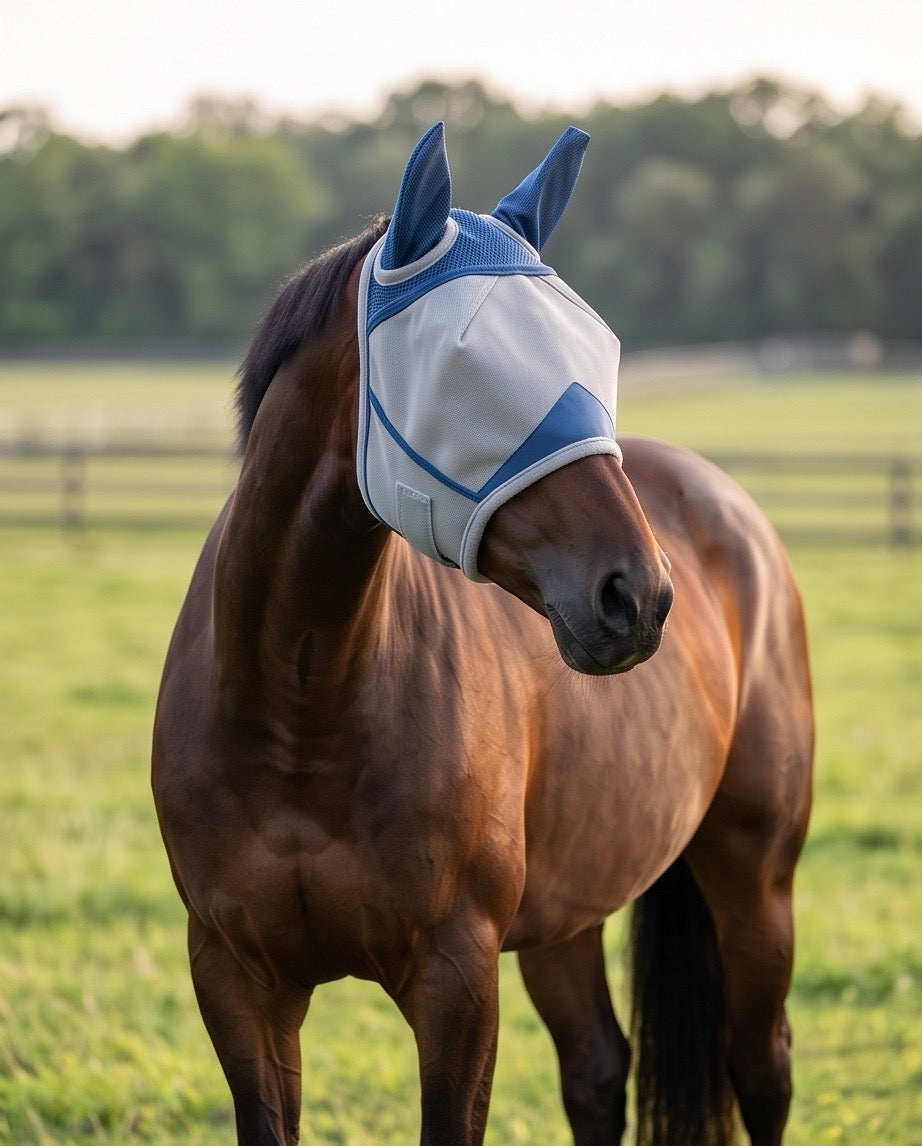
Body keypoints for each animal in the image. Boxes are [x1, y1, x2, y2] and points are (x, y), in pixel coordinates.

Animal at [152, 123, 813, 1146]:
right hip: (569, 912)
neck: (300, 706)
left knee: (760, 1068)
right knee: (597, 1070)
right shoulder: (236, 979)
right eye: (467, 367)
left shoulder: (456, 978)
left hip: (755, 880)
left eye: (597, 348)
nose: (639, 595)